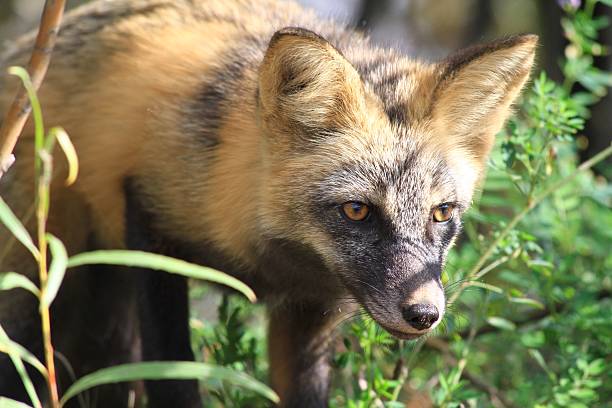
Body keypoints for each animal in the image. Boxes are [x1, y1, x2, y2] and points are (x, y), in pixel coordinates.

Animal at [0, 0, 536, 406]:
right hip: (42, 289)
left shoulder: (313, 306)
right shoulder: (152, 223)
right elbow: (173, 378)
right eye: (357, 211)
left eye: (441, 213)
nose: (424, 313)